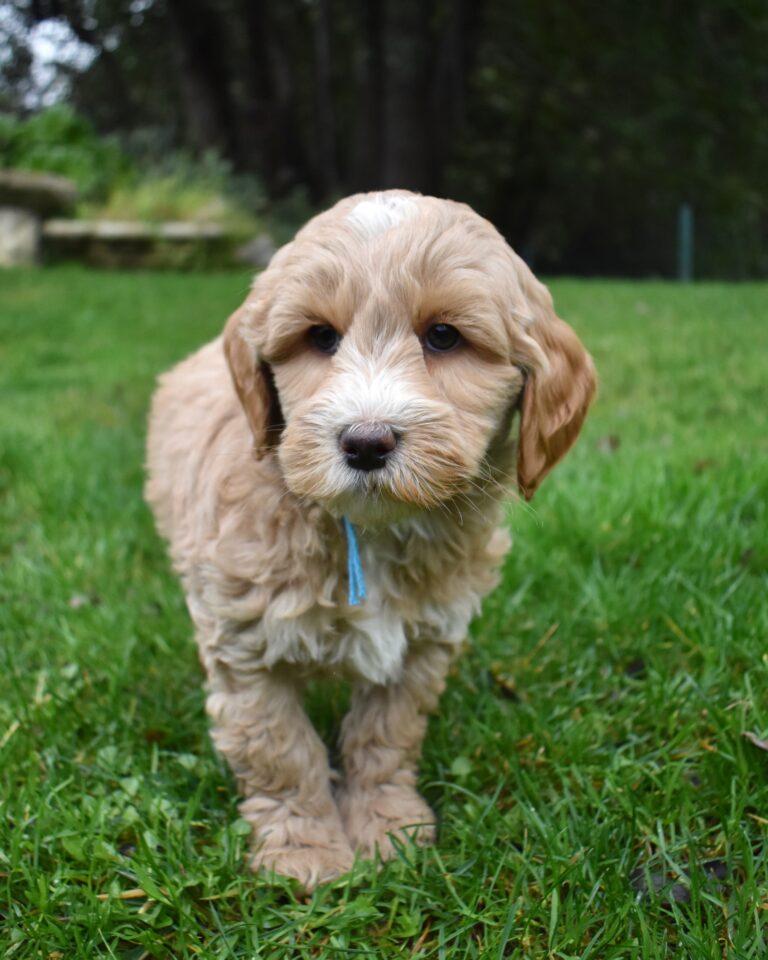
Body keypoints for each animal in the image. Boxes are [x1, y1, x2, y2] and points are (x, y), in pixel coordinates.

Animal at [146, 189, 600, 892]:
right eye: (319, 337)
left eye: (443, 336)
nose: (365, 442)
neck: (371, 531)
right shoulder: (244, 642)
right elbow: (278, 746)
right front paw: (304, 849)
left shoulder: (424, 639)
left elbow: (386, 733)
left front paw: (387, 827)